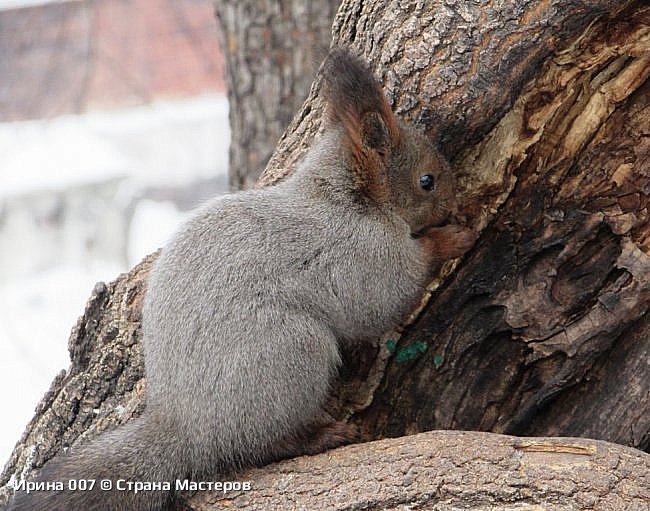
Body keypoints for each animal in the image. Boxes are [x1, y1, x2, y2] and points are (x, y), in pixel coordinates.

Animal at [3, 48, 470, 511]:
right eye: (427, 181)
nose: (453, 200)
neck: (344, 197)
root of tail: (187, 426)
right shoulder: (361, 257)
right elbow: (389, 294)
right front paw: (450, 239)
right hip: (294, 352)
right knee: (261, 444)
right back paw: (320, 436)